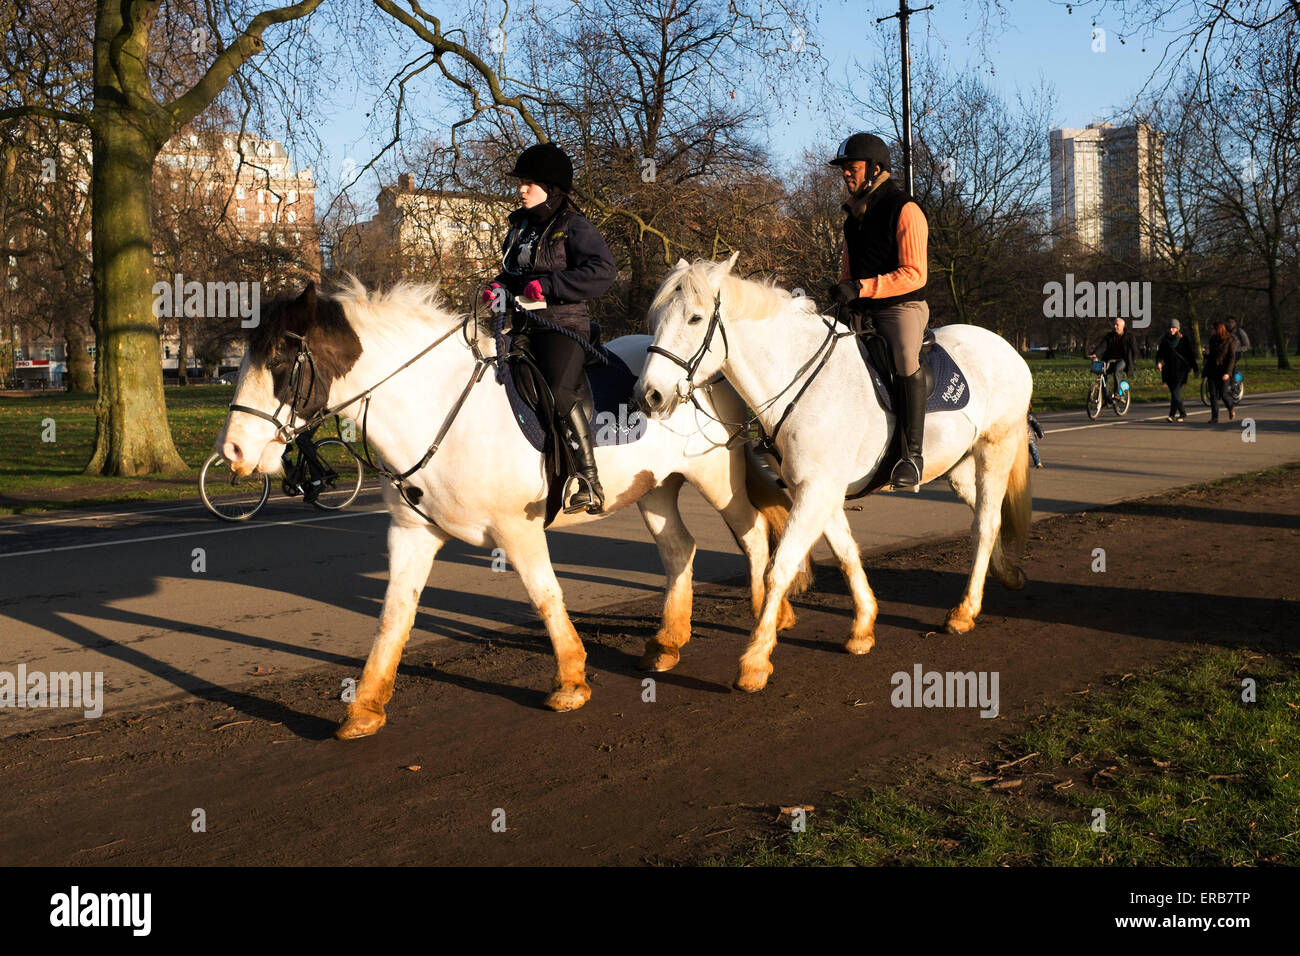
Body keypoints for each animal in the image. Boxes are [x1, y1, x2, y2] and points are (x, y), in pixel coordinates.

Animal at [213, 278, 800, 738]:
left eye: (279, 362)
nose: (233, 451)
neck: (435, 408)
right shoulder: (411, 535)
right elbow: (394, 615)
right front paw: (365, 706)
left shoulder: (518, 531)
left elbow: (545, 596)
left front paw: (571, 680)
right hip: (655, 487)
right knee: (680, 549)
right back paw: (668, 641)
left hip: (715, 476)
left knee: (752, 535)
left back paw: (764, 622)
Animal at [634, 260, 1029, 697]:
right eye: (655, 318)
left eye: (695, 317)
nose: (649, 396)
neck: (801, 383)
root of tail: (1004, 346)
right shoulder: (820, 491)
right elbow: (845, 553)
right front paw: (862, 627)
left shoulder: (816, 491)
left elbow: (780, 567)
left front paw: (755, 661)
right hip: (959, 468)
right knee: (988, 516)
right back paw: (1006, 573)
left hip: (996, 448)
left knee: (986, 523)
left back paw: (964, 610)